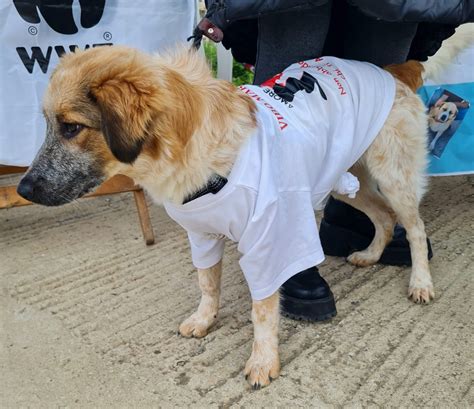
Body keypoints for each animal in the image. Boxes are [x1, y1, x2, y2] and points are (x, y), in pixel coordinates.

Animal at [17, 46, 434, 388]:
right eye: (49, 125)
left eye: (72, 127)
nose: (22, 189)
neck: (192, 151)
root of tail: (392, 71)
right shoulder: (201, 234)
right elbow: (207, 284)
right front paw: (204, 320)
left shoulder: (271, 239)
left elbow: (262, 310)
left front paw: (263, 360)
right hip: (346, 178)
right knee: (383, 218)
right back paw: (370, 255)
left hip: (393, 176)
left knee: (414, 227)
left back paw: (421, 283)